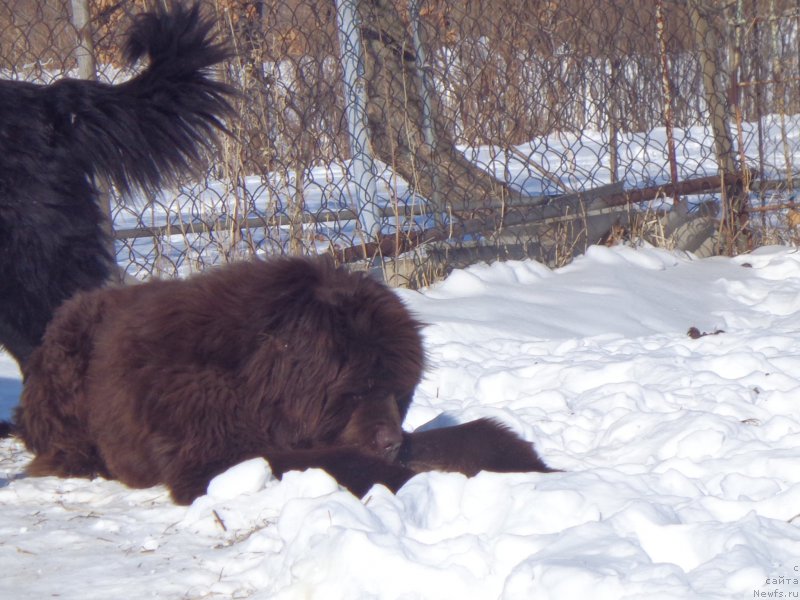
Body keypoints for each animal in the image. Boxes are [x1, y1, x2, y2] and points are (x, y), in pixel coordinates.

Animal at [17, 256, 552, 502]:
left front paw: (517, 458)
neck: (251, 375)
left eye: (398, 393)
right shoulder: (211, 458)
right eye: (355, 391)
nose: (388, 440)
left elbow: (454, 439)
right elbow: (342, 461)